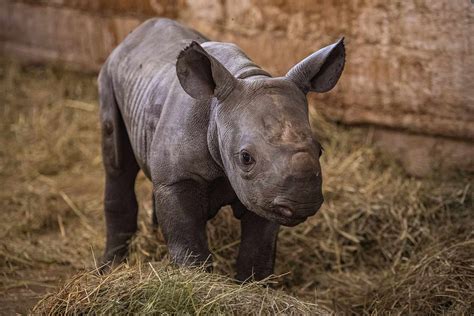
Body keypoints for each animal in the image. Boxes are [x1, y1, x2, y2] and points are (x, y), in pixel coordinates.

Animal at [100, 17, 344, 282]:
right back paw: (109, 268)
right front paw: (194, 280)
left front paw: (253, 286)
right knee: (117, 164)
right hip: (109, 75)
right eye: (246, 158)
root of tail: (130, 38)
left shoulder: (264, 191)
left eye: (320, 150)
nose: (302, 203)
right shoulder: (180, 179)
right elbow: (189, 246)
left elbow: (258, 252)